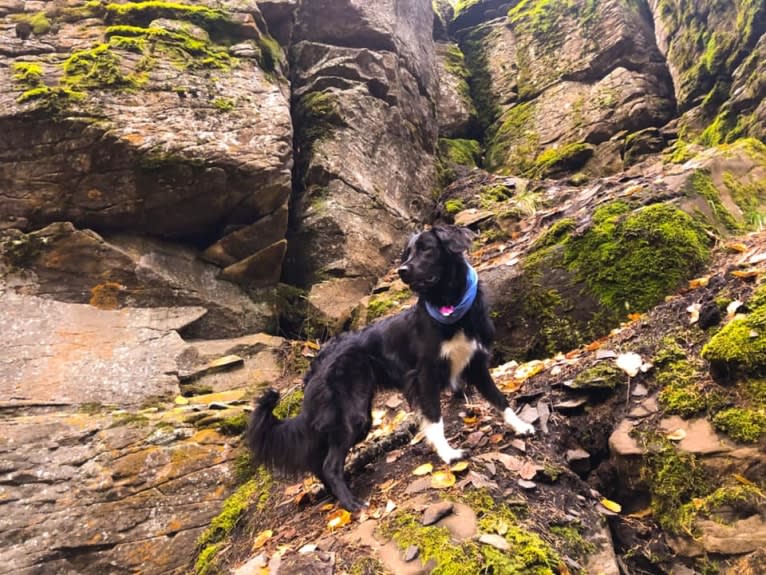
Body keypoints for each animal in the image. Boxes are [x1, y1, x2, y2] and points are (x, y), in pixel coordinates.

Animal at [246, 227, 536, 510]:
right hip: (352, 416)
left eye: (427, 249)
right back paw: (352, 503)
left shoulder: (476, 364)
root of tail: (319, 359)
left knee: (319, 462)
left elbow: (499, 399)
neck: (451, 309)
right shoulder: (425, 377)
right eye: (407, 253)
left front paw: (520, 426)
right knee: (328, 465)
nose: (402, 271)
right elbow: (435, 419)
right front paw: (448, 454)